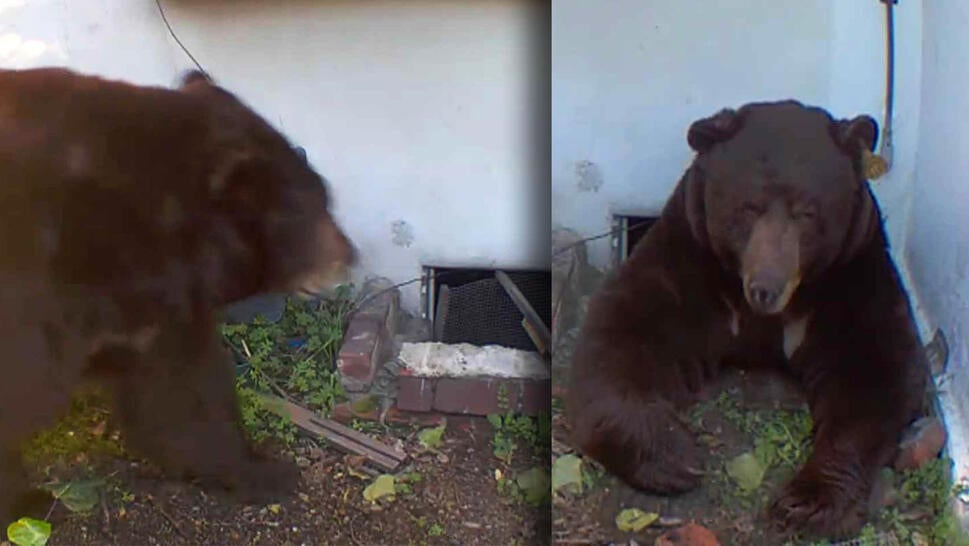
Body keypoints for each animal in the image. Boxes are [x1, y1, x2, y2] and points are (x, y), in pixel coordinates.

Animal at [0, 67, 355, 525]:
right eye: (313, 208)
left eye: (325, 196)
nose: (351, 255)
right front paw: (28, 501)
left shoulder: (153, 311)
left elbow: (180, 391)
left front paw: (261, 470)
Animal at [566, 100, 928, 539]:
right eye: (747, 207)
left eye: (808, 212)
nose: (765, 287)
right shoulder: (690, 259)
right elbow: (622, 331)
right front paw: (676, 456)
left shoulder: (850, 277)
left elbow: (877, 370)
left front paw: (805, 502)